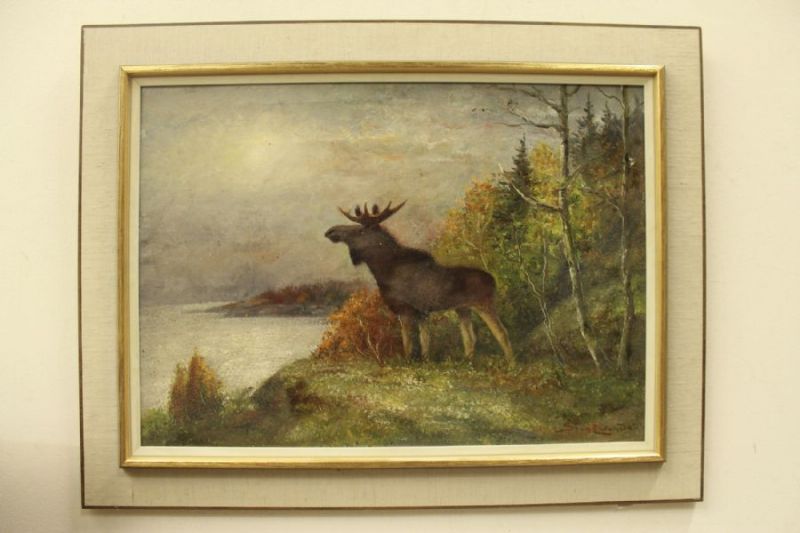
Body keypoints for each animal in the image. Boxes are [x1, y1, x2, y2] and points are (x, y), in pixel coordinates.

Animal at [324, 201, 514, 366]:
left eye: (360, 230)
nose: (331, 231)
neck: (384, 269)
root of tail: (494, 280)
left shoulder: (404, 309)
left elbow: (408, 343)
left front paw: (408, 362)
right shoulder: (422, 312)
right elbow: (425, 342)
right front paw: (426, 361)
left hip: (484, 304)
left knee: (502, 333)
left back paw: (511, 364)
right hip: (463, 309)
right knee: (469, 338)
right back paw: (467, 362)